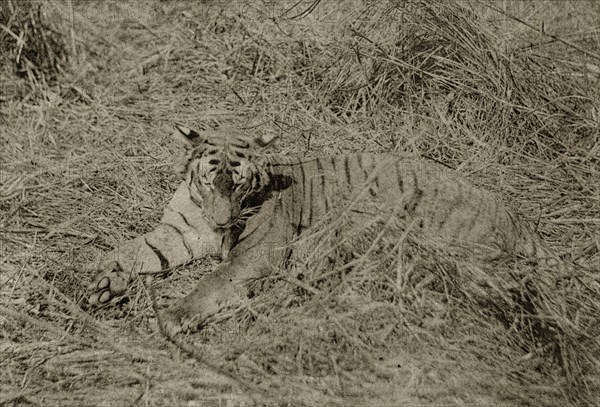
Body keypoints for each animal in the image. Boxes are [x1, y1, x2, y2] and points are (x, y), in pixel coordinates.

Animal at [88, 126, 564, 336]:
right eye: (210, 180)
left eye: (238, 183)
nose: (222, 221)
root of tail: (519, 218)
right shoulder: (178, 230)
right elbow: (134, 249)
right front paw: (101, 285)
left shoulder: (255, 256)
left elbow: (211, 282)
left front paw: (171, 317)